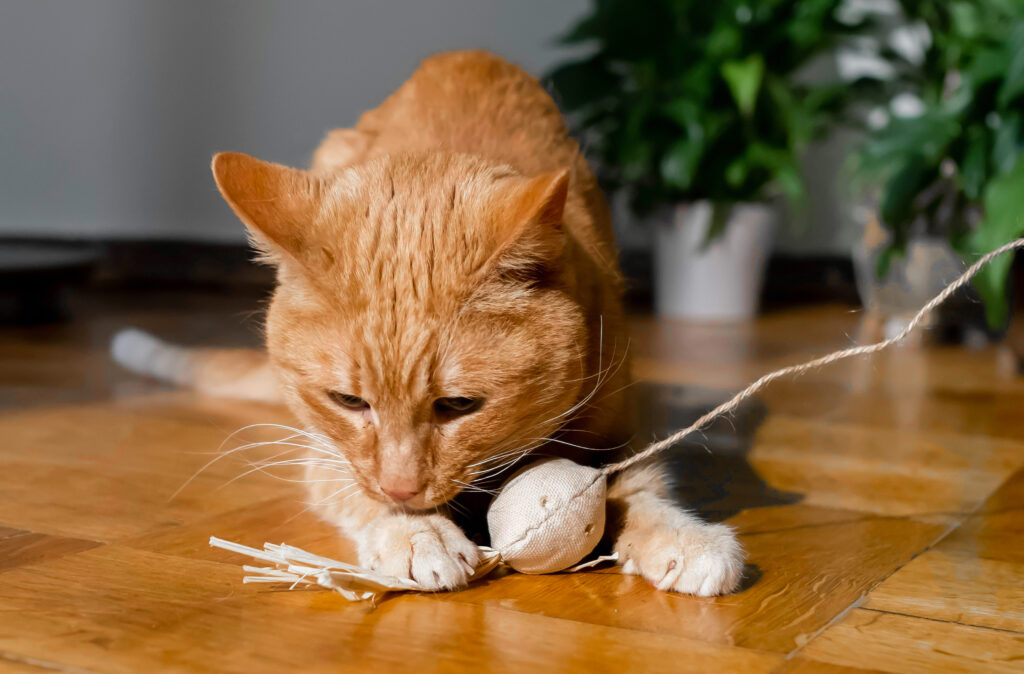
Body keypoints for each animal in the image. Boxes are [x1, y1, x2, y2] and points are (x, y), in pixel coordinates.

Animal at [114, 51, 745, 594]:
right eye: (348, 401)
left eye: (459, 405)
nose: (403, 487)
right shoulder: (325, 453)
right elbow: (354, 488)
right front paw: (416, 533)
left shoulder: (623, 429)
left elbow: (642, 487)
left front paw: (683, 537)